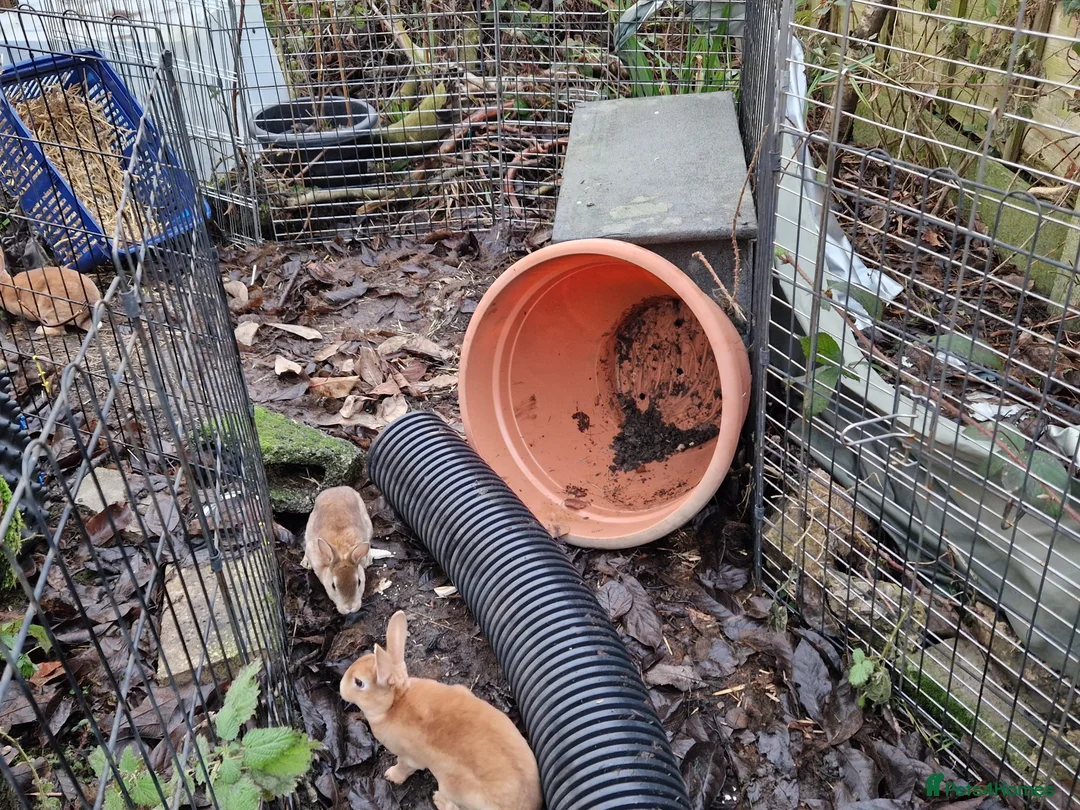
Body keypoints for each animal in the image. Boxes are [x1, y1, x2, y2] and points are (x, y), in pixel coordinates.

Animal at [339, 611, 543, 810]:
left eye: (359, 682)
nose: (341, 687)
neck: (395, 702)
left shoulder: (408, 757)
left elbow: (404, 767)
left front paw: (391, 776)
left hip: (454, 785)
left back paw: (439, 800)